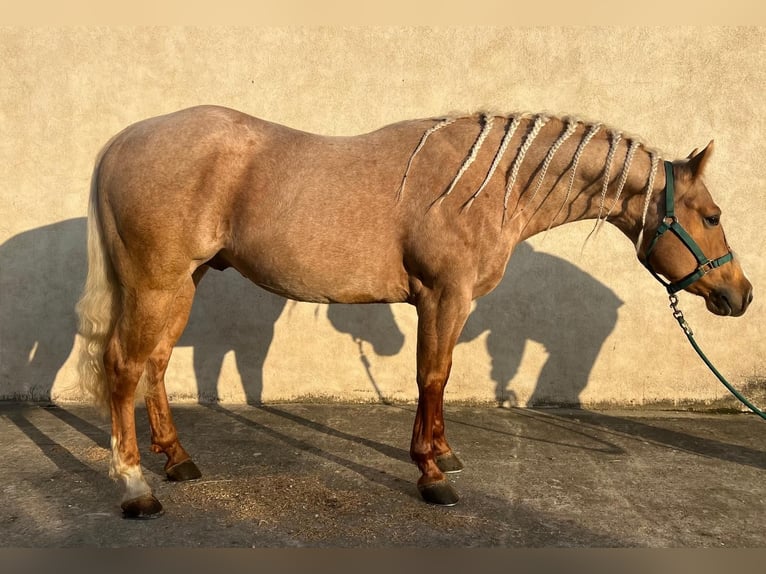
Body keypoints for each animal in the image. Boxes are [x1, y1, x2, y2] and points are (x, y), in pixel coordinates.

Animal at [76, 106, 753, 518]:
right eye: (712, 215)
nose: (740, 295)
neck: (487, 184)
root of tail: (120, 142)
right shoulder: (441, 296)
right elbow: (433, 376)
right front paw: (432, 475)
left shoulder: (453, 303)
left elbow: (441, 379)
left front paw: (444, 453)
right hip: (157, 283)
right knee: (124, 366)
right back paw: (135, 487)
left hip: (183, 284)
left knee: (156, 363)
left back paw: (177, 460)